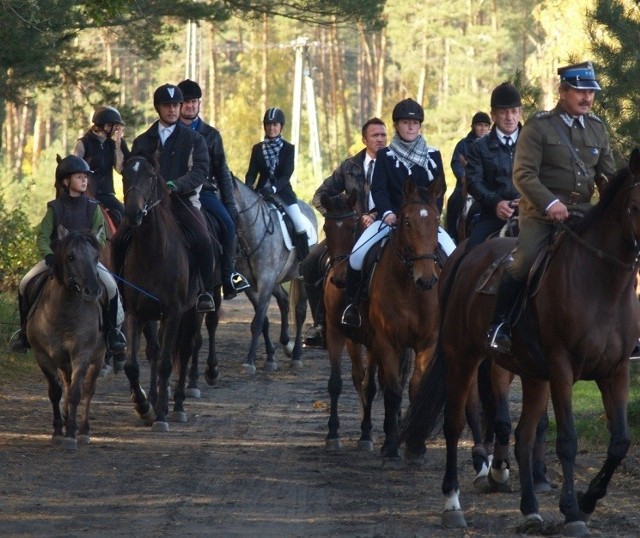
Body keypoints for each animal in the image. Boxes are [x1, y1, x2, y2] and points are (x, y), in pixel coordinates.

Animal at [27, 226, 107, 448]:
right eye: (71, 257)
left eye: (96, 257)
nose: (93, 290)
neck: (63, 312)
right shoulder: (42, 355)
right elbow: (55, 391)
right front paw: (57, 431)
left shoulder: (81, 354)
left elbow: (76, 393)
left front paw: (71, 434)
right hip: (63, 361)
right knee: (66, 382)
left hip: (98, 358)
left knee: (87, 390)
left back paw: (84, 430)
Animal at [117, 155, 202, 432]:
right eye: (124, 175)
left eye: (151, 176)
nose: (133, 213)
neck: (152, 252)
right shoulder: (135, 311)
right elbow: (133, 365)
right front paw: (144, 407)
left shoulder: (174, 312)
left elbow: (166, 364)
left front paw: (162, 415)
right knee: (155, 350)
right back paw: (153, 400)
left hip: (193, 311)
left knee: (185, 350)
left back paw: (178, 406)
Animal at [232, 176, 318, 372]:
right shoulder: (252, 285)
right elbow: (262, 320)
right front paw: (270, 358)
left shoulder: (266, 281)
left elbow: (258, 321)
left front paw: (249, 362)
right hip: (278, 279)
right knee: (284, 300)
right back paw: (286, 344)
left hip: (300, 276)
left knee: (300, 311)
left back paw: (296, 355)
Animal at [358, 175, 442, 460]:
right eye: (407, 222)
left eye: (436, 222)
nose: (426, 280)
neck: (409, 286)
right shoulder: (386, 341)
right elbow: (393, 391)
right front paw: (392, 446)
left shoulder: (428, 343)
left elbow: (415, 389)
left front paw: (415, 446)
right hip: (372, 343)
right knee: (374, 384)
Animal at [402, 149, 640, 532]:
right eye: (634, 205)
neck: (602, 285)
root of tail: (466, 256)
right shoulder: (561, 369)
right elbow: (567, 440)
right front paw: (572, 512)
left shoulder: (614, 371)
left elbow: (619, 442)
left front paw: (587, 501)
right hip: (463, 357)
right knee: (455, 423)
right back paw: (453, 503)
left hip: (531, 373)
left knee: (525, 435)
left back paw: (530, 510)